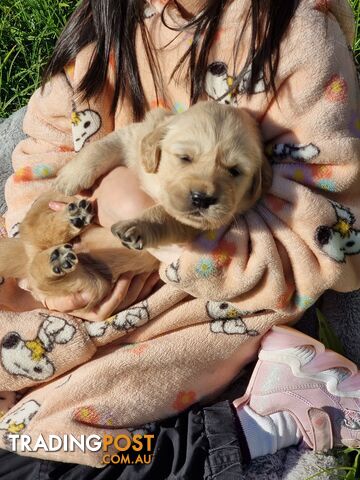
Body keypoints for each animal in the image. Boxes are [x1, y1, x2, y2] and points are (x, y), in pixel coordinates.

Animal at [55, 101, 270, 251]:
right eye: (185, 158)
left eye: (235, 171)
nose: (201, 199)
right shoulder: (133, 138)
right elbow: (101, 147)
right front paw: (69, 176)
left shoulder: (194, 223)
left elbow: (165, 214)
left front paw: (137, 226)